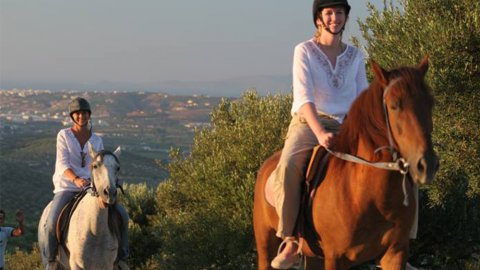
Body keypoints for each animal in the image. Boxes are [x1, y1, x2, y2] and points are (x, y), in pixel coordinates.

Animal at [255, 57, 438, 270]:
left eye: (430, 103)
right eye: (394, 105)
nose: (427, 165)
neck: (365, 195)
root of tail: (266, 166)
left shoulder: (395, 254)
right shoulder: (336, 257)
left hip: (314, 257)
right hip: (265, 247)